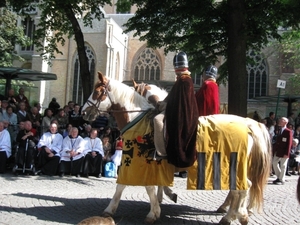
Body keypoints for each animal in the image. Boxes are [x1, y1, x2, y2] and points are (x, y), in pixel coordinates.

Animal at [82, 72, 272, 225]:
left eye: (97, 92)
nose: (83, 113)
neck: (138, 120)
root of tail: (248, 126)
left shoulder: (138, 162)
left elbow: (141, 186)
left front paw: (152, 212)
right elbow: (127, 186)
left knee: (243, 188)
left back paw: (235, 214)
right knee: (240, 188)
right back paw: (233, 214)